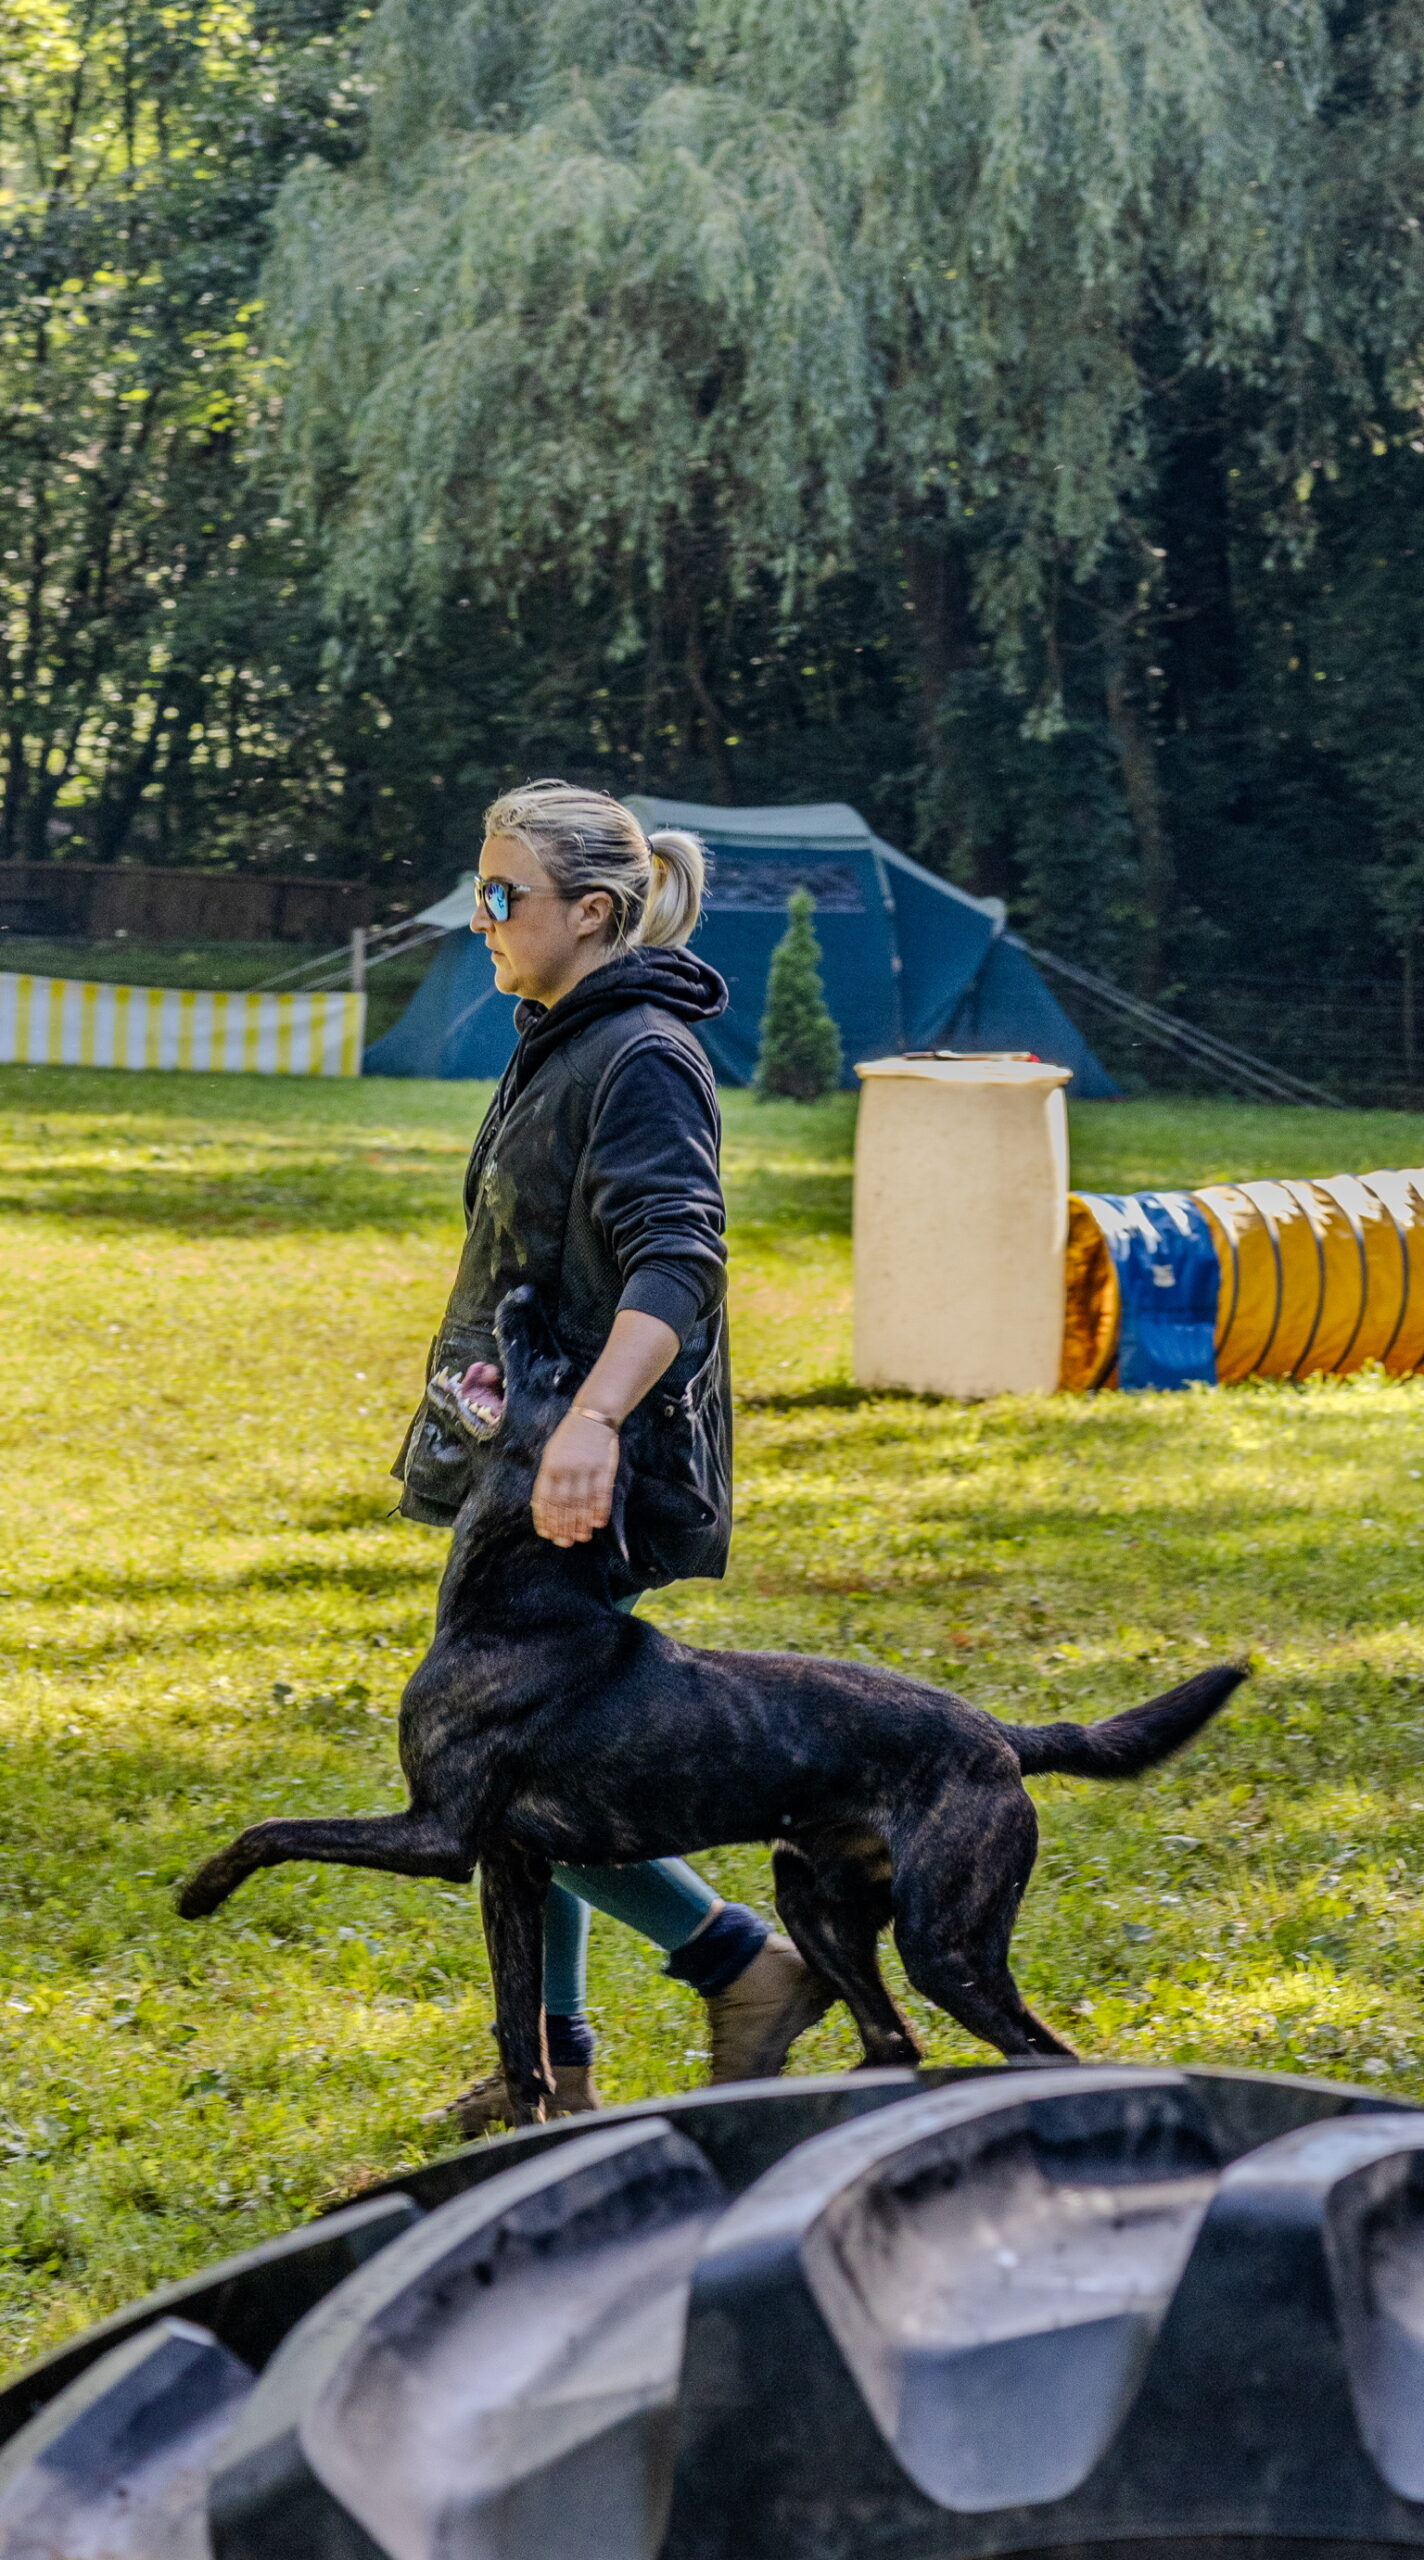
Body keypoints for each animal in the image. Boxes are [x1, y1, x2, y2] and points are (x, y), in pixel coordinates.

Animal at [179, 1287, 1245, 2121]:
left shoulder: (436, 1835)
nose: (521, 1296)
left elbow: (273, 1829)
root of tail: (1002, 1739)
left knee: (1034, 2050)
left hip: (946, 1944)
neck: (524, 1603)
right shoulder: (513, 1872)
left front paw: (199, 1892)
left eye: (553, 1367)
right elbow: (521, 2044)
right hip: (814, 1900)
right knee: (891, 2043)